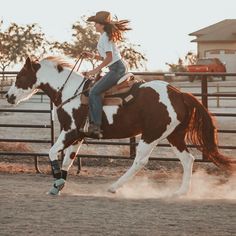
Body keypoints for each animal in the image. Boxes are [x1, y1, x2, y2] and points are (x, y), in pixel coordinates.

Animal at [6, 56, 235, 195]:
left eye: (20, 76)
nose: (8, 96)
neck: (70, 91)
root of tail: (178, 93)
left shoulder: (69, 131)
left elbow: (53, 153)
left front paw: (56, 183)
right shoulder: (78, 136)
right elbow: (68, 161)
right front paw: (58, 185)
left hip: (151, 135)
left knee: (140, 161)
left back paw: (114, 187)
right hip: (174, 136)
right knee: (188, 160)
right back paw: (181, 192)